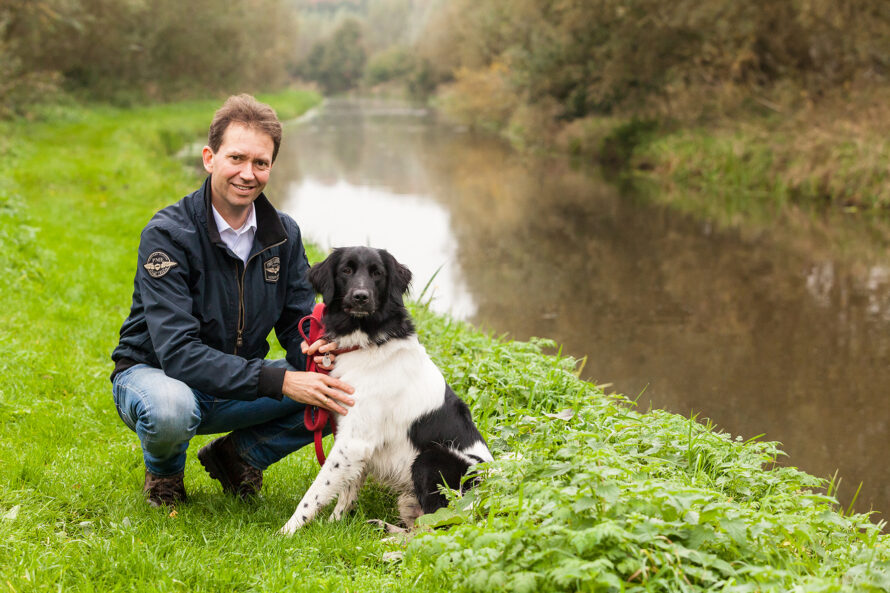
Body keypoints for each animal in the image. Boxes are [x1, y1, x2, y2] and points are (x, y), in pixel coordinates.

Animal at [280, 247, 492, 536]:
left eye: (377, 273)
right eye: (346, 270)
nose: (361, 297)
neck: (366, 342)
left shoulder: (353, 441)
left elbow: (316, 491)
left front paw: (286, 532)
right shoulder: (353, 439)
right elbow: (348, 490)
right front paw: (336, 526)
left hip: (430, 458)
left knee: (435, 530)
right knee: (418, 528)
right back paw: (382, 528)